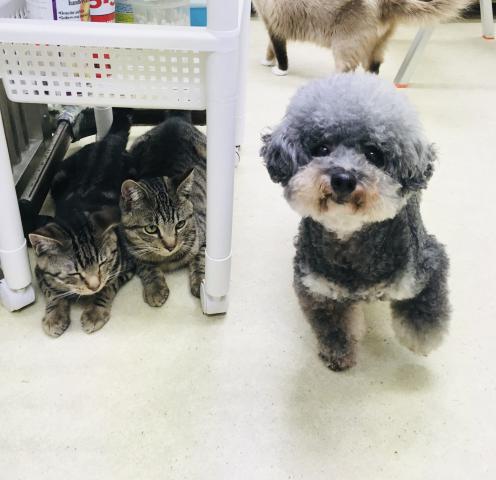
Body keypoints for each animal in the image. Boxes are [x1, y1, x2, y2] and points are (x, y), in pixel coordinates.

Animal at [29, 110, 135, 337]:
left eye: (102, 263)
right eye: (74, 273)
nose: (94, 285)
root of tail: (107, 141)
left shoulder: (126, 263)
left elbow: (108, 286)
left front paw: (95, 311)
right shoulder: (40, 271)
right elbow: (52, 292)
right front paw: (55, 315)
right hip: (57, 179)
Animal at [119, 115, 206, 307]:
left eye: (180, 224)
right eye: (151, 229)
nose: (170, 246)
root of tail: (175, 118)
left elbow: (200, 258)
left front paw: (200, 282)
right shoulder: (131, 250)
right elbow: (146, 266)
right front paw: (155, 288)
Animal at [253, 0, 471, 76]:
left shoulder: (273, 26)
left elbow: (280, 53)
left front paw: (279, 70)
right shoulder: (271, 25)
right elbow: (270, 49)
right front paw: (266, 61)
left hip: (343, 47)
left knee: (346, 70)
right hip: (375, 47)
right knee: (374, 68)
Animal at [261, 73, 450, 371]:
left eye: (373, 154)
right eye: (322, 148)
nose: (343, 179)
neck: (349, 236)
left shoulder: (427, 264)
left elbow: (426, 308)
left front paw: (420, 340)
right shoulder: (318, 289)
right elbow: (333, 325)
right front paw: (338, 353)